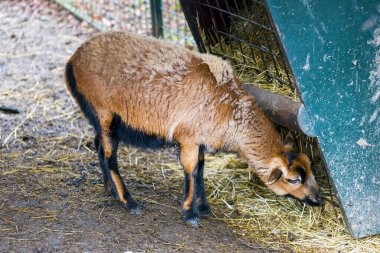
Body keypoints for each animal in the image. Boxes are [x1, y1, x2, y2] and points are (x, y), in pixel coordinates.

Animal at [64, 31, 320, 227]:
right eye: (294, 180)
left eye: (311, 169)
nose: (319, 199)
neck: (231, 108)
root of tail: (73, 59)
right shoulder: (188, 137)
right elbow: (191, 169)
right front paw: (190, 213)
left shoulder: (201, 139)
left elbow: (201, 169)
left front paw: (203, 206)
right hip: (103, 111)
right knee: (110, 156)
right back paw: (128, 201)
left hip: (101, 118)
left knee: (98, 147)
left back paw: (109, 189)